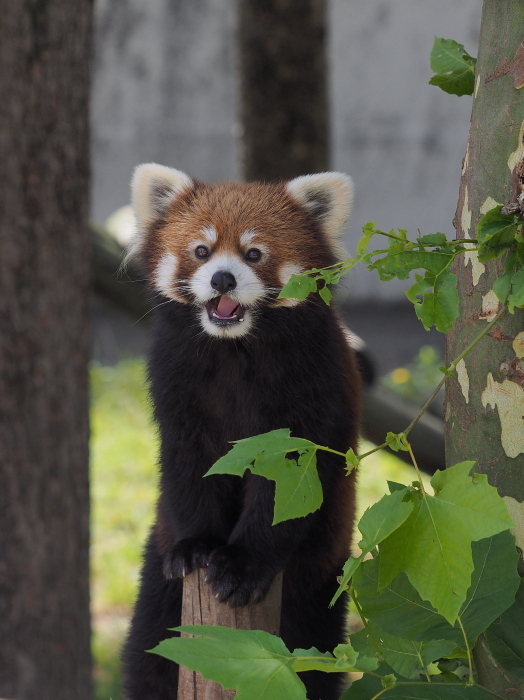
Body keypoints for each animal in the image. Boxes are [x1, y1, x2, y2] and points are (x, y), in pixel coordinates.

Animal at [122, 165, 360, 700]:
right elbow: (190, 468)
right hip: (158, 581)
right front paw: (198, 548)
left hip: (321, 572)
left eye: (254, 254)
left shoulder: (310, 389)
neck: (233, 347)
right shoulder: (176, 383)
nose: (223, 278)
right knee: (150, 651)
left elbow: (285, 487)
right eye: (201, 251)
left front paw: (242, 566)